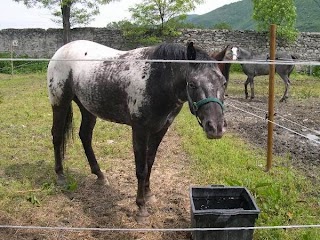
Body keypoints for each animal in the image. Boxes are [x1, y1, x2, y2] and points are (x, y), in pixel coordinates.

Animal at [47, 39, 228, 221]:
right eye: (192, 84)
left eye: (223, 83)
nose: (216, 127)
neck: (156, 79)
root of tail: (62, 50)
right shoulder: (140, 130)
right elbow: (141, 169)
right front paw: (141, 207)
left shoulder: (160, 129)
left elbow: (150, 162)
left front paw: (148, 194)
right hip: (60, 103)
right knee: (57, 136)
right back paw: (61, 176)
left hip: (88, 109)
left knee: (85, 136)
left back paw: (100, 175)